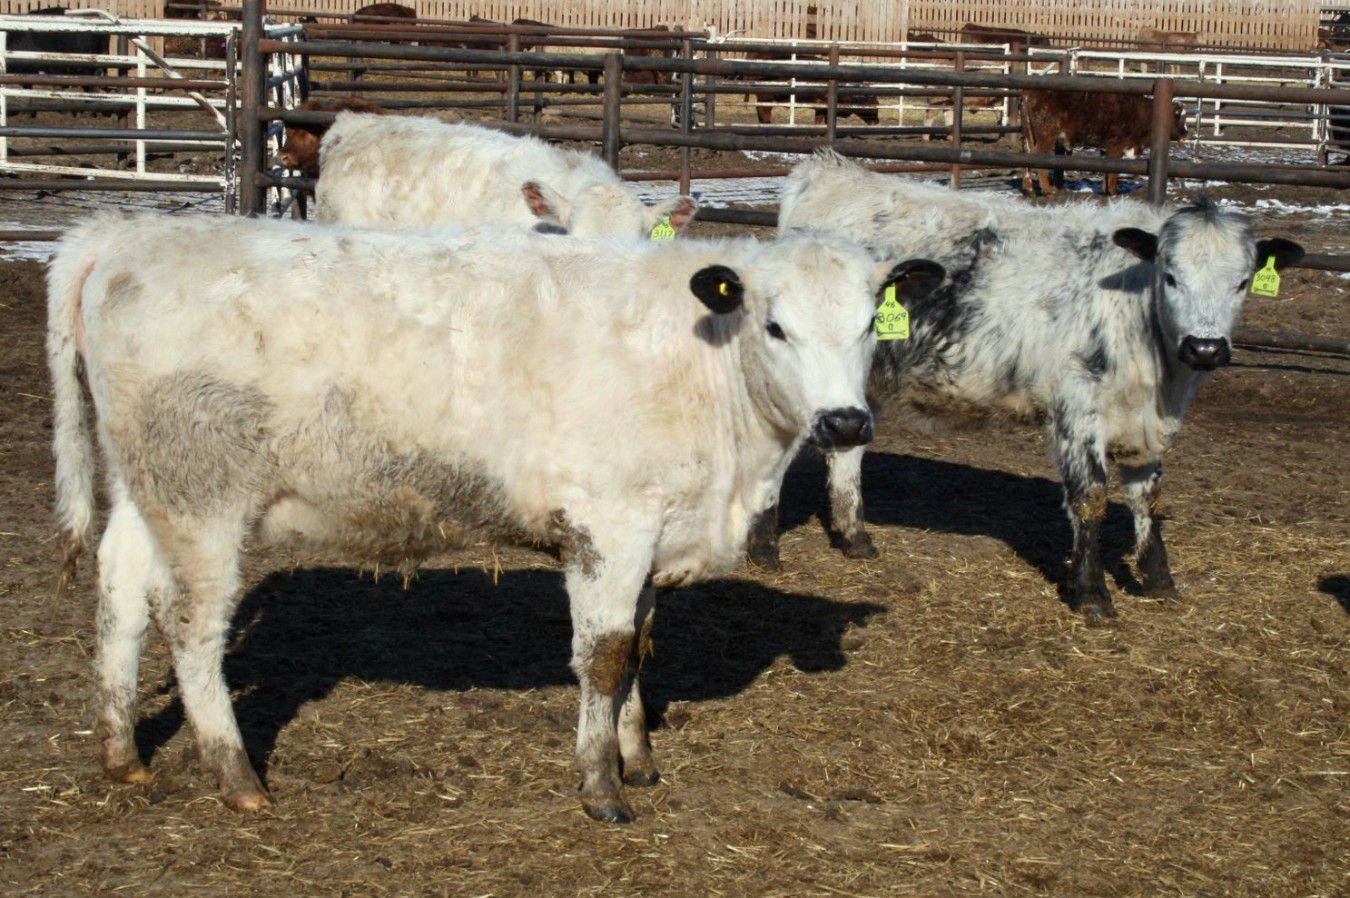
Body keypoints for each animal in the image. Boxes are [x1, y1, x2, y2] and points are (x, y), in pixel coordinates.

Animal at [48, 212, 940, 821]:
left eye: (871, 323)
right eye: (776, 325)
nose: (845, 423)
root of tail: (129, 233)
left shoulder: (652, 533)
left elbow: (641, 645)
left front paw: (638, 754)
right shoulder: (609, 526)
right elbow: (606, 658)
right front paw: (602, 788)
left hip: (146, 487)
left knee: (120, 589)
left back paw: (122, 752)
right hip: (203, 500)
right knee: (191, 627)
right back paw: (237, 778)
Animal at [753, 151, 1305, 619]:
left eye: (1243, 281)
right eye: (1170, 276)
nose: (1205, 348)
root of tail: (830, 170)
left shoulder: (1148, 422)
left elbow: (1148, 496)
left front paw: (1158, 579)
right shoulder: (1077, 411)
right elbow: (1091, 499)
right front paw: (1092, 593)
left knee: (846, 453)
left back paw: (856, 538)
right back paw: (765, 549)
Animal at [1021, 89, 1187, 196]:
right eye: (1177, 116)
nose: (1186, 134)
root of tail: (1031, 93)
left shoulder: (1106, 149)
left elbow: (1107, 170)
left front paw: (1106, 190)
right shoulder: (1116, 147)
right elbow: (1113, 172)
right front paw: (1113, 192)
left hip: (1033, 137)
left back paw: (1029, 188)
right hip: (1046, 138)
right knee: (1038, 157)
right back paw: (1047, 189)